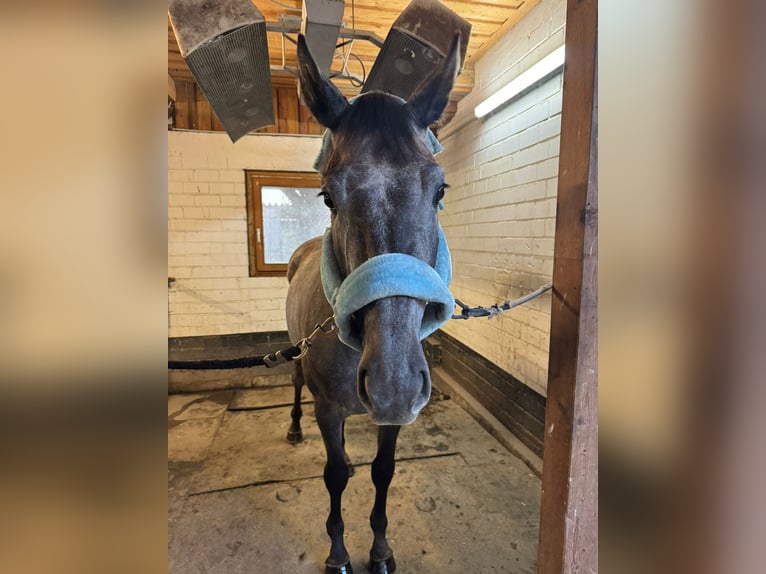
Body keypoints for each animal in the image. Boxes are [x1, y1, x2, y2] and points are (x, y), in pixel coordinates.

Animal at [284, 33, 460, 574]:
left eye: (439, 189)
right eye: (327, 196)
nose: (392, 384)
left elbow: (382, 470)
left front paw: (380, 550)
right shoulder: (329, 410)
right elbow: (338, 474)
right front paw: (339, 554)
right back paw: (292, 429)